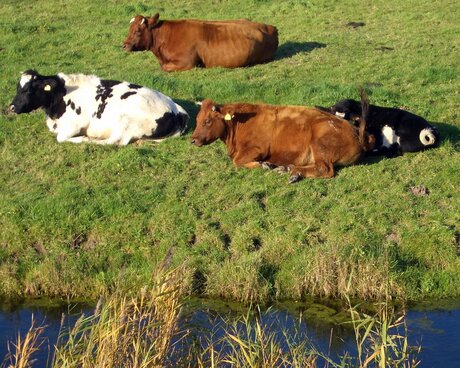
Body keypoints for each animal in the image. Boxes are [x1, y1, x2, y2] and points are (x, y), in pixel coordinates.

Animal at [9, 69, 189, 144]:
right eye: (18, 88)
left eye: (29, 89)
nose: (11, 108)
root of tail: (176, 109)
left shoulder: (74, 125)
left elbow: (60, 138)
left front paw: (81, 138)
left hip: (127, 120)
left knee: (116, 141)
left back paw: (91, 139)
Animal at [190, 94, 374, 182]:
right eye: (197, 120)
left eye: (207, 121)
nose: (192, 140)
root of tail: (356, 132)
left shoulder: (257, 149)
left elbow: (237, 161)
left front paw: (263, 164)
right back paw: (288, 169)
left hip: (320, 145)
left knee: (324, 169)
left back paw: (292, 171)